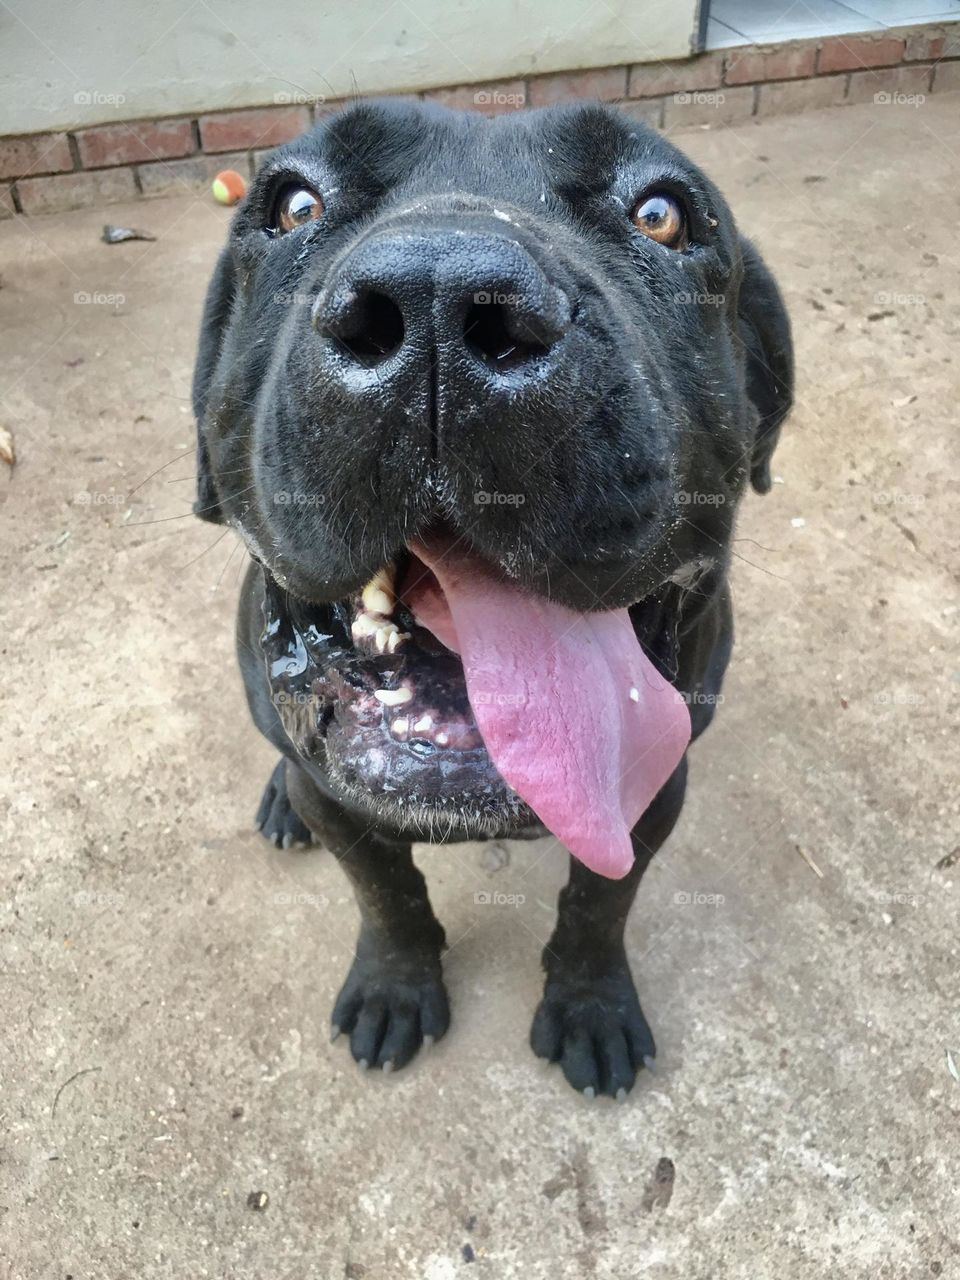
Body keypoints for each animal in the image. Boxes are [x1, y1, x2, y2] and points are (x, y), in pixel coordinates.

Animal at [192, 99, 793, 1100]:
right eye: (295, 205)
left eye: (662, 215)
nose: (439, 294)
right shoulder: (342, 804)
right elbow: (387, 894)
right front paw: (396, 984)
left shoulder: (653, 787)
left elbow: (601, 901)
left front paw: (592, 1003)